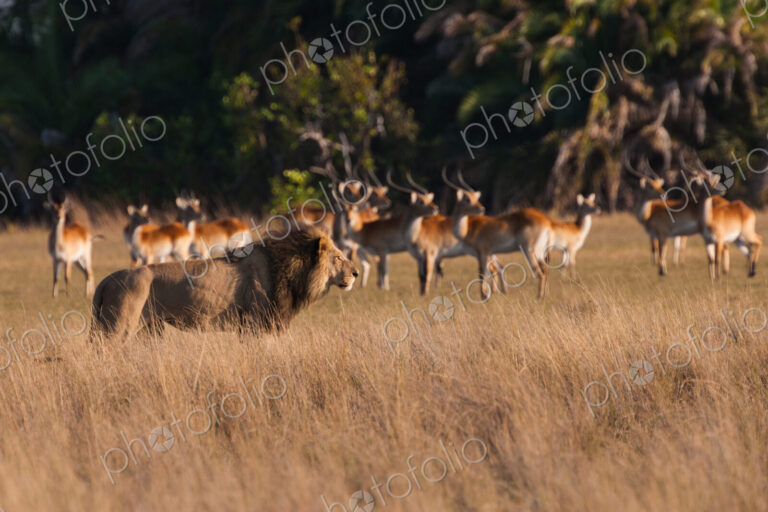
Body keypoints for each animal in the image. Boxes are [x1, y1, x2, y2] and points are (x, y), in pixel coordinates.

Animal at [92, 227, 358, 339]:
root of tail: (106, 280)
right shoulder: (254, 324)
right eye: (338, 258)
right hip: (118, 326)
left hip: (149, 329)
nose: (356, 273)